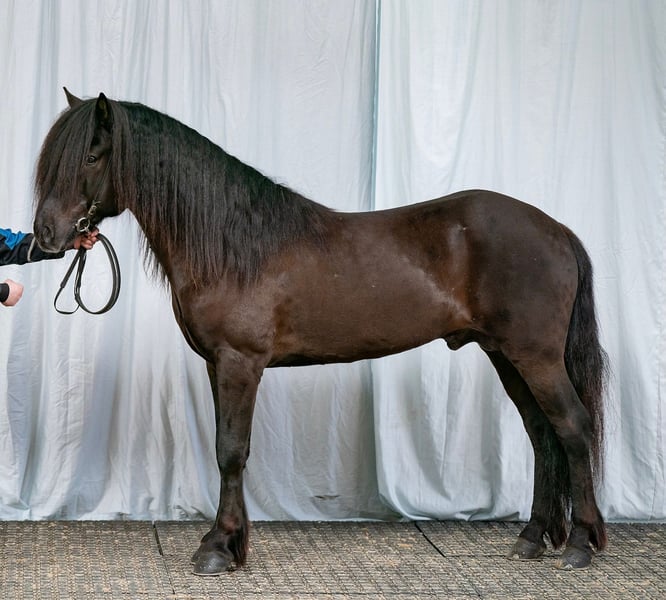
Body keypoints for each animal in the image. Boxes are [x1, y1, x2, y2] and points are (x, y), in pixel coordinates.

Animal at [33, 89, 608, 575]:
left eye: (91, 157)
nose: (45, 235)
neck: (233, 245)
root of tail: (557, 230)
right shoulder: (218, 365)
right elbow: (228, 450)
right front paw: (231, 543)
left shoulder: (240, 362)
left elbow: (230, 451)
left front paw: (218, 549)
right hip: (506, 356)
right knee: (542, 434)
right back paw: (531, 539)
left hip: (535, 356)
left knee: (573, 428)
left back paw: (581, 543)